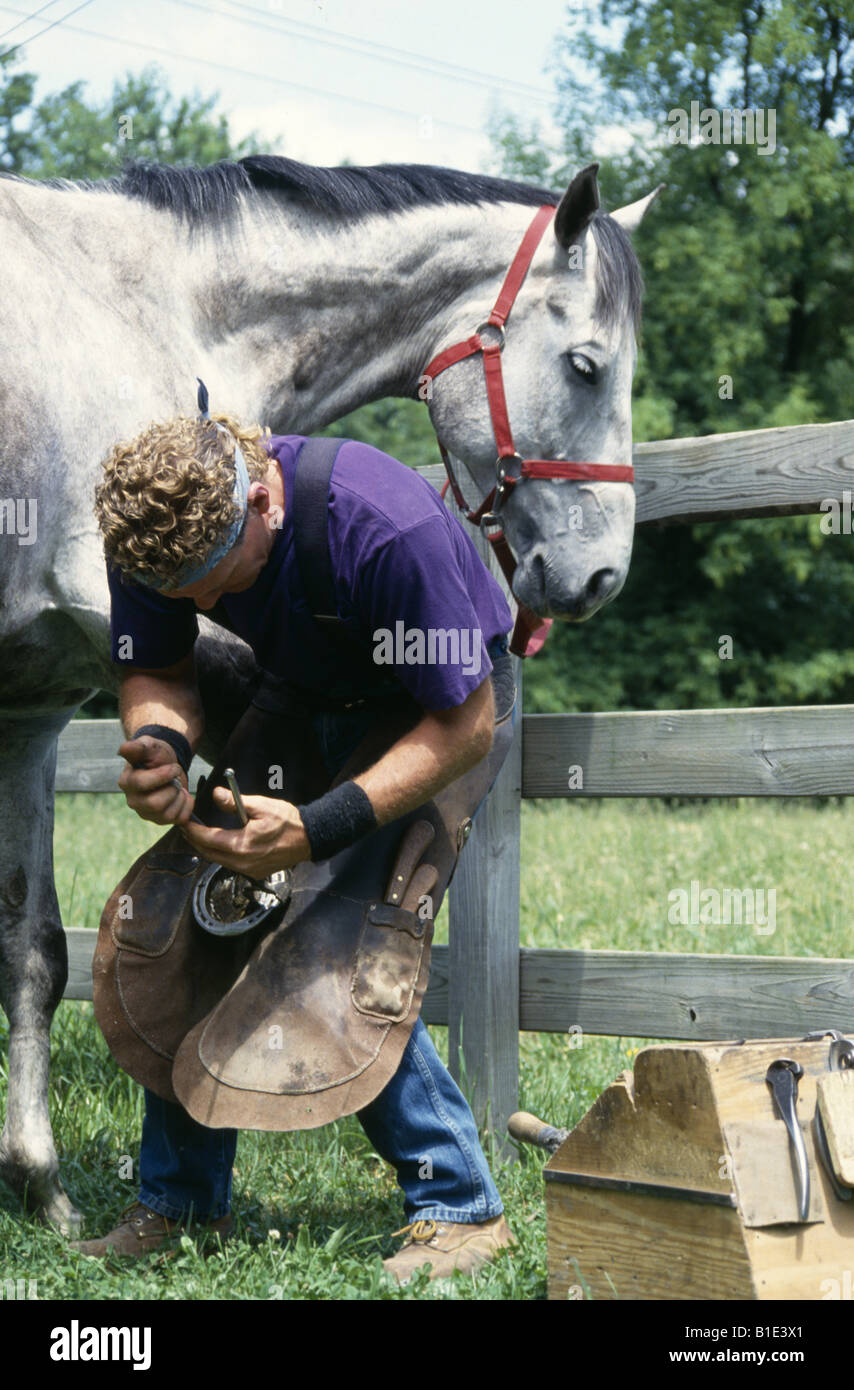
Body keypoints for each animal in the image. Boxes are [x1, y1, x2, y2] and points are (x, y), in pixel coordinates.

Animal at [0, 157, 662, 1234]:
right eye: (585, 365)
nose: (599, 574)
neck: (143, 307)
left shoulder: (30, 718)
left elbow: (33, 949)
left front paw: (39, 1184)